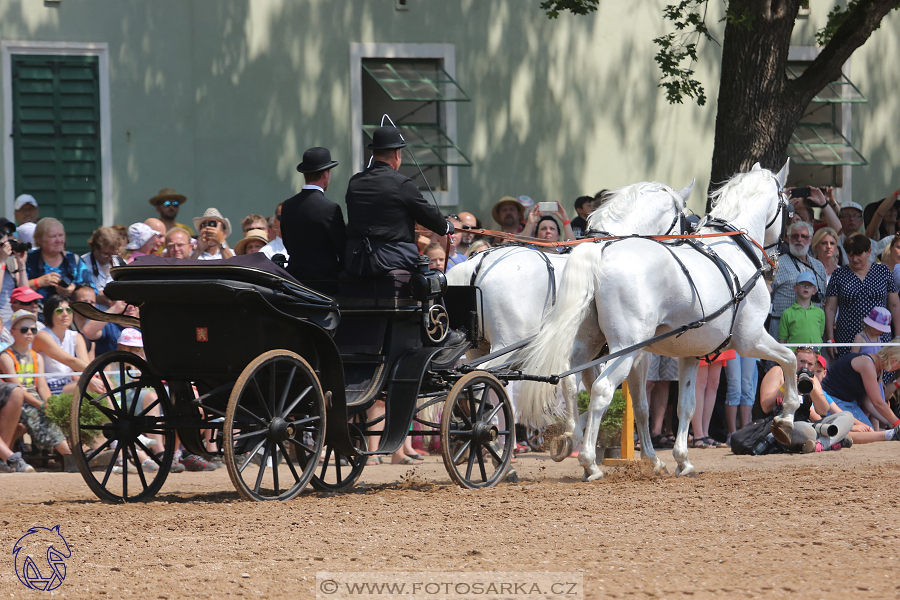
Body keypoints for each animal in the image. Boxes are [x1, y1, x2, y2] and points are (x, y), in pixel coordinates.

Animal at [446, 180, 692, 452]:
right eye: (686, 219)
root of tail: (478, 263)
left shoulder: (591, 351)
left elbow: (585, 389)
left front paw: (576, 437)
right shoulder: (635, 351)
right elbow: (639, 404)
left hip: (477, 348)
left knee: (471, 385)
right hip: (506, 348)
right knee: (480, 382)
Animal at [516, 162, 800, 480]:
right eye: (790, 211)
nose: (774, 266)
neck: (734, 250)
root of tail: (600, 253)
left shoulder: (689, 354)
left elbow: (684, 406)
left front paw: (682, 460)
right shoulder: (749, 340)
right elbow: (789, 359)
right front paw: (786, 420)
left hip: (587, 343)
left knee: (568, 379)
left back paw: (569, 439)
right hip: (624, 350)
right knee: (601, 391)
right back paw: (589, 462)